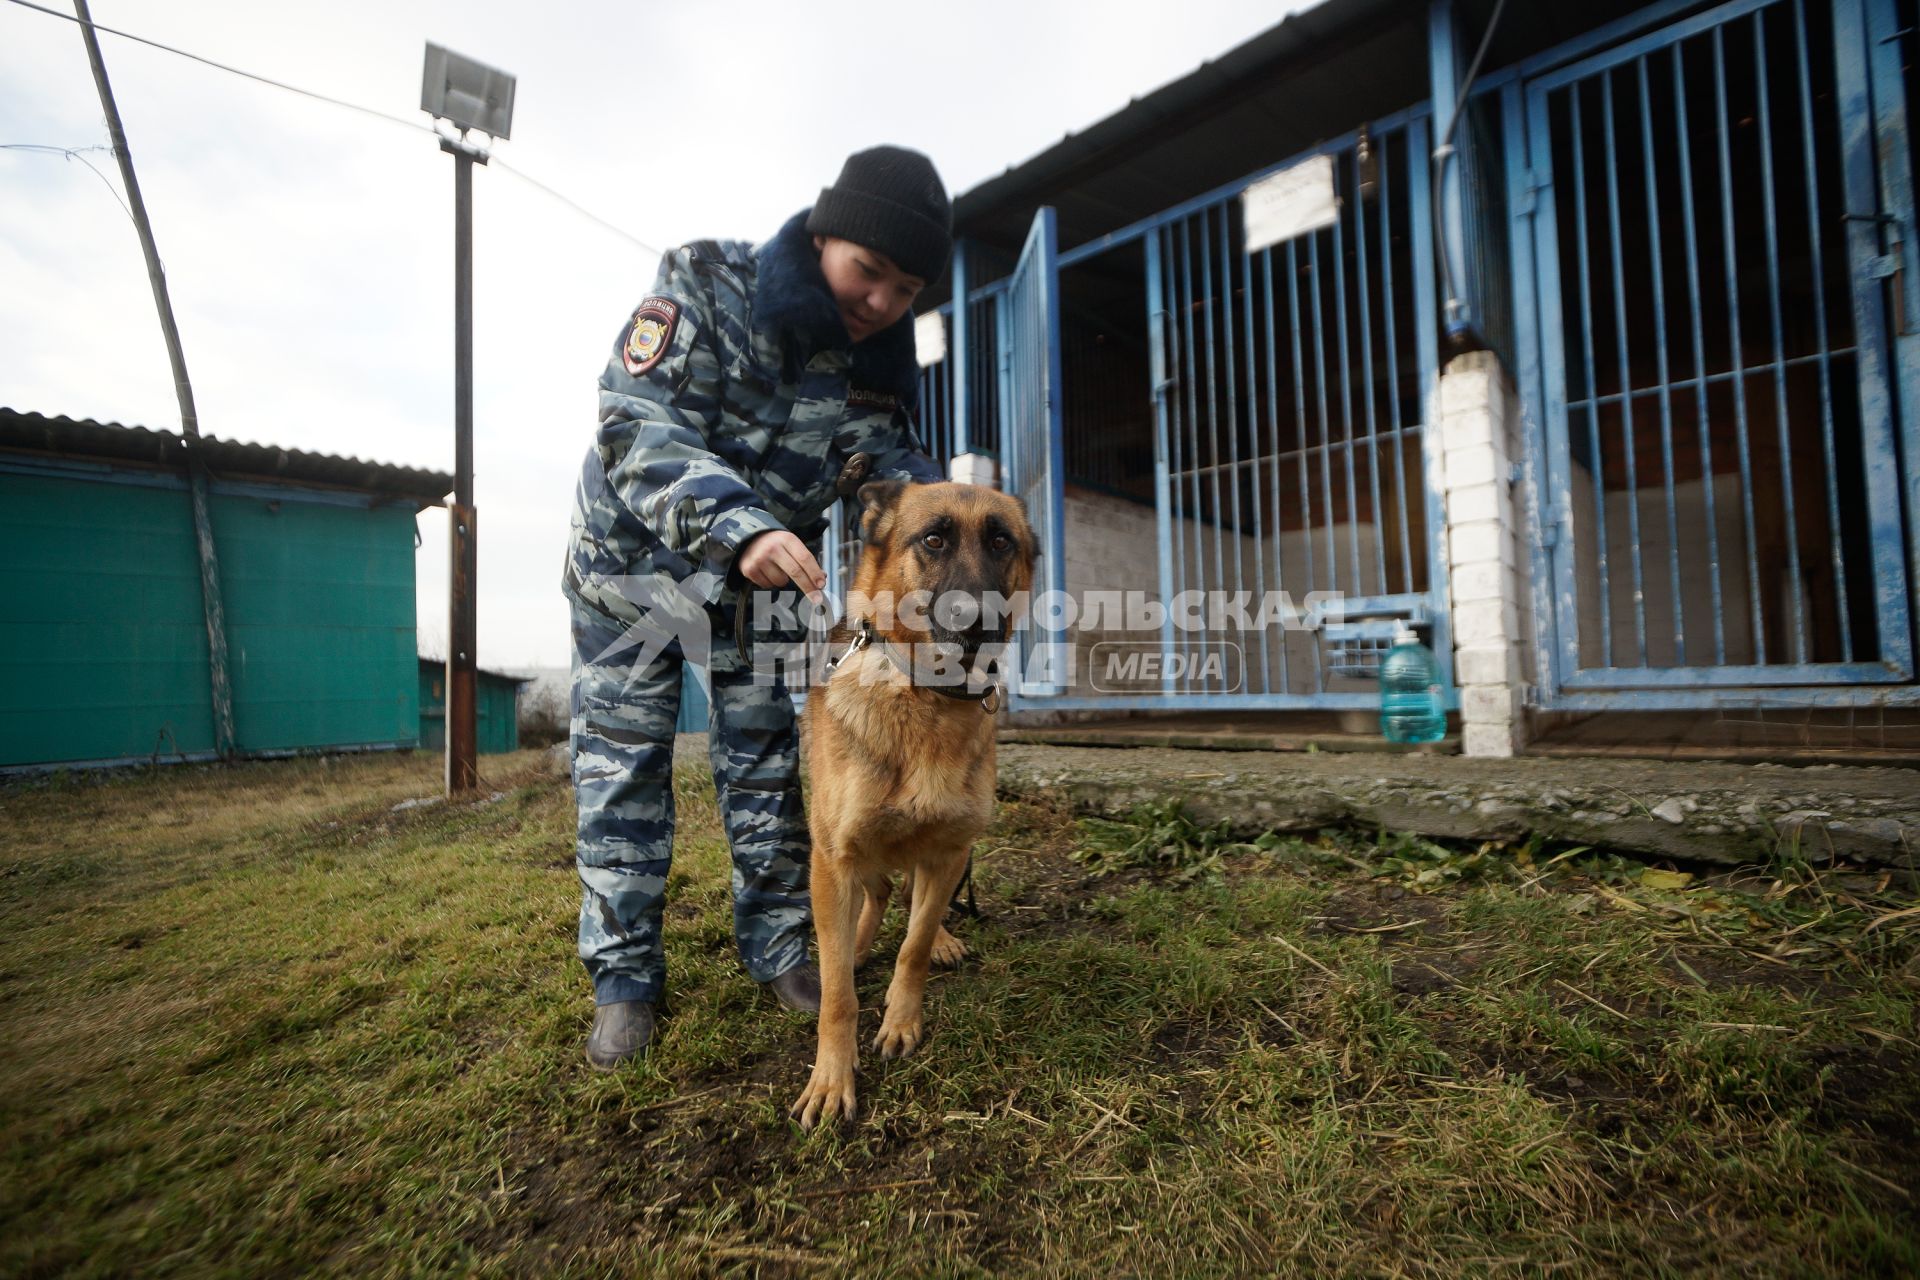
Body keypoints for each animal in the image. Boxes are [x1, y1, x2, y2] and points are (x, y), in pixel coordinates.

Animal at [791, 479, 1044, 1128]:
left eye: (1001, 542)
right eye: (933, 539)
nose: (979, 623)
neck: (925, 697)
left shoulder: (950, 851)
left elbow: (915, 943)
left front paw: (902, 1018)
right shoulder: (833, 858)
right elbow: (836, 992)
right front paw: (832, 1076)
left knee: (909, 901)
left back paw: (942, 940)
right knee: (878, 896)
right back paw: (857, 946)